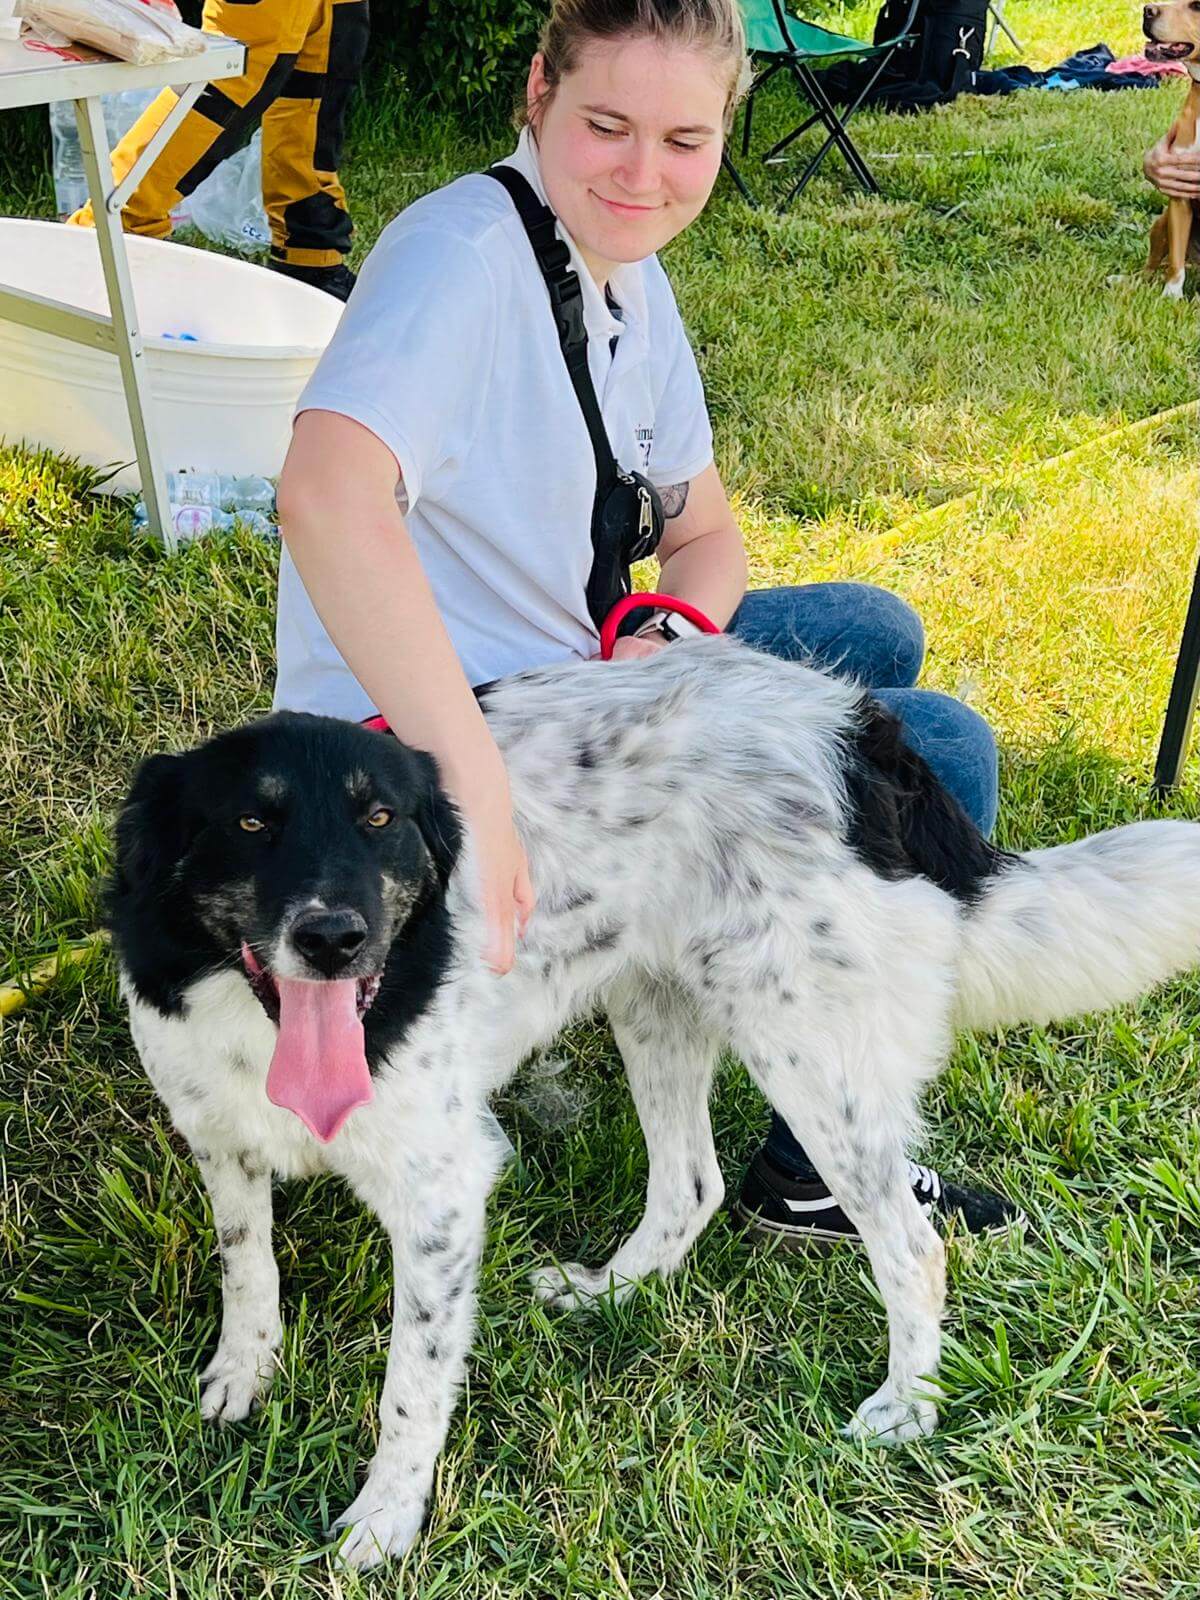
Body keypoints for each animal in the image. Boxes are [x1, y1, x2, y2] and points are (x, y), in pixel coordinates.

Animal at [107, 638, 1200, 1568]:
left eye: (381, 820)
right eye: (251, 822)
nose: (335, 939)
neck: (264, 1023)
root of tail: (860, 736)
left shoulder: (442, 1189)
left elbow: (411, 1387)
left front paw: (385, 1518)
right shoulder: (221, 1144)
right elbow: (248, 1272)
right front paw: (245, 1372)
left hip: (810, 1056)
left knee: (912, 1246)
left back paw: (906, 1407)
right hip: (660, 1006)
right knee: (693, 1184)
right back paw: (612, 1292)